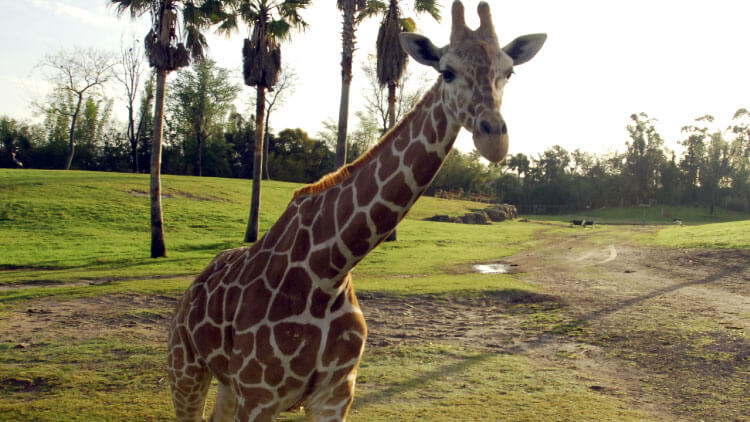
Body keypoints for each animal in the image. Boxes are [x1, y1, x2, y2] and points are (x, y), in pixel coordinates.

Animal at [167, 2, 545, 421]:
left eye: (508, 71)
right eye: (446, 71)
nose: (493, 138)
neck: (328, 270)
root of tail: (192, 286)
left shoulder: (335, 393)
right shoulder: (258, 396)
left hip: (226, 383)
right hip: (186, 369)